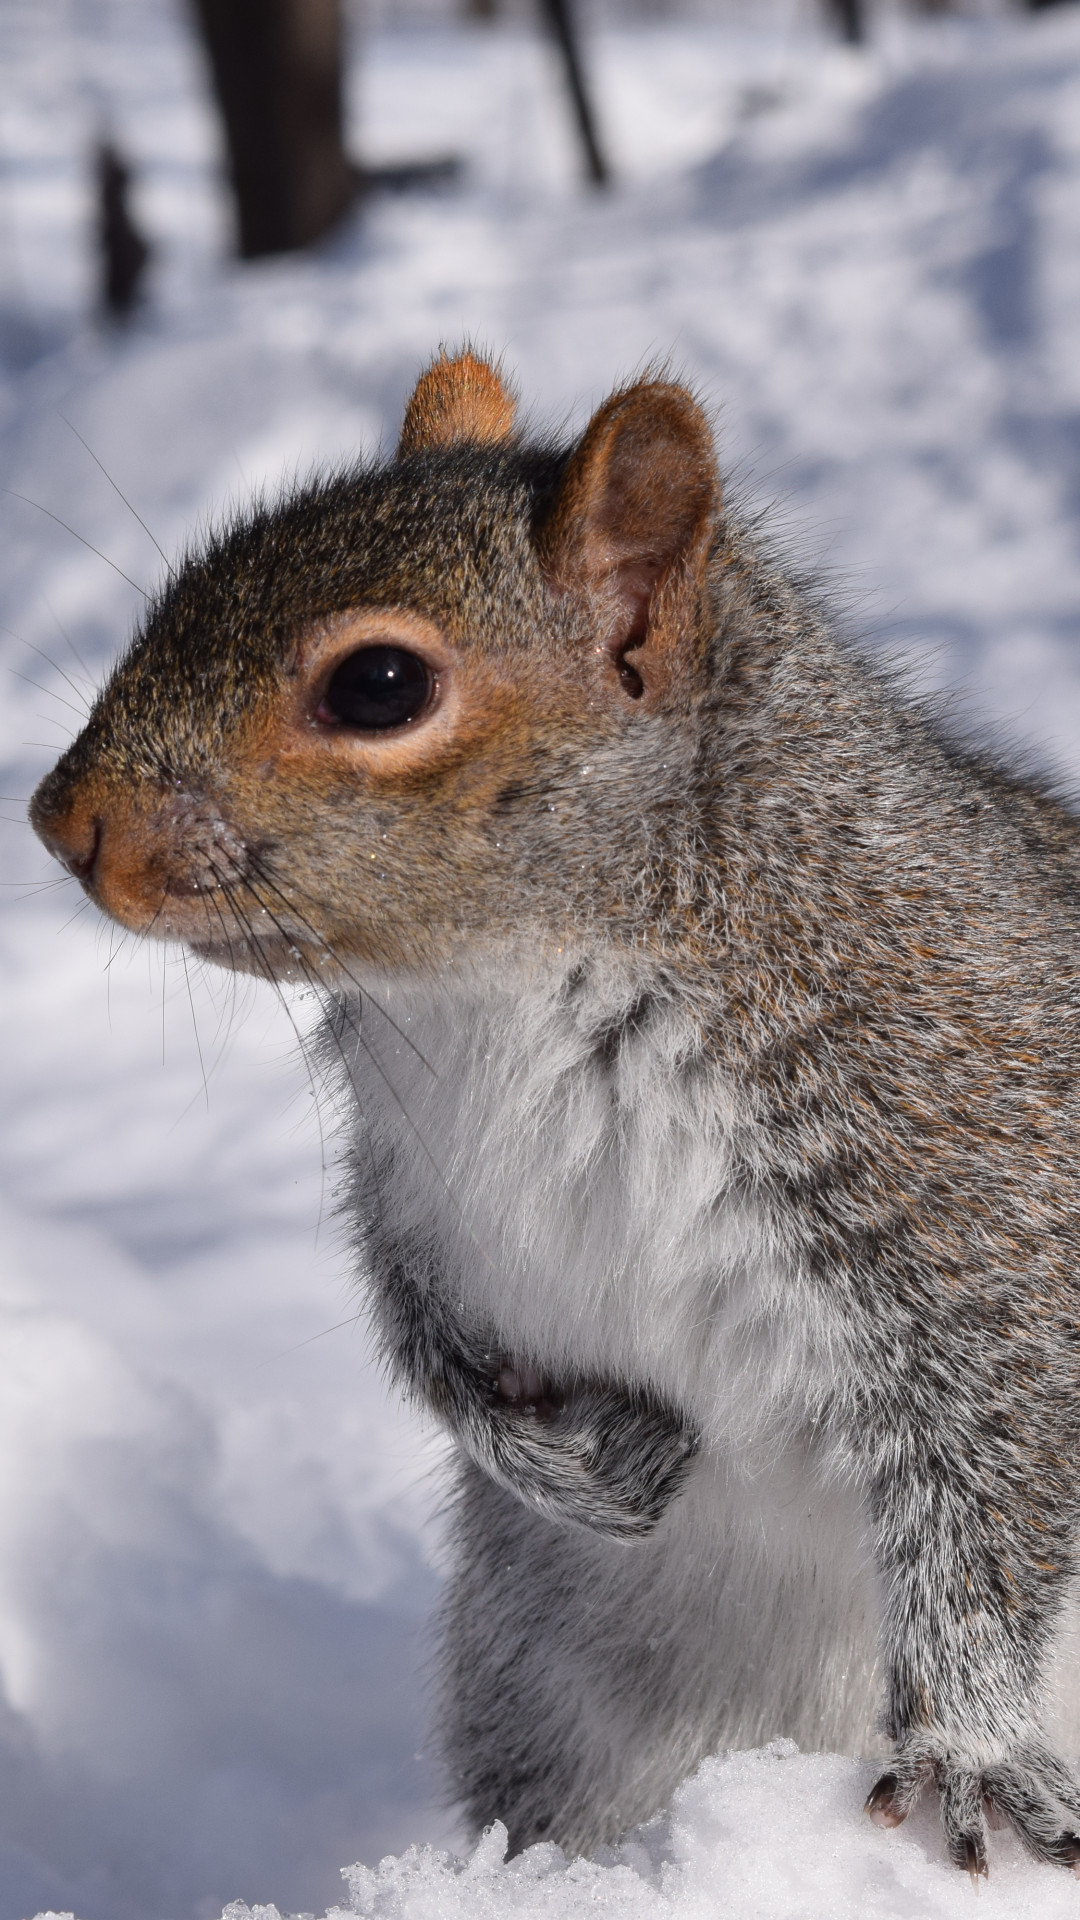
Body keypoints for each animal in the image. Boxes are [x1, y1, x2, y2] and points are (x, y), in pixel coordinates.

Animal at [29, 346, 1080, 1879]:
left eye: (380, 684)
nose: (60, 821)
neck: (513, 990)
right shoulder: (414, 1192)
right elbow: (427, 1344)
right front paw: (583, 1462)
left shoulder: (975, 1167)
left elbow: (992, 1476)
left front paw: (974, 1754)